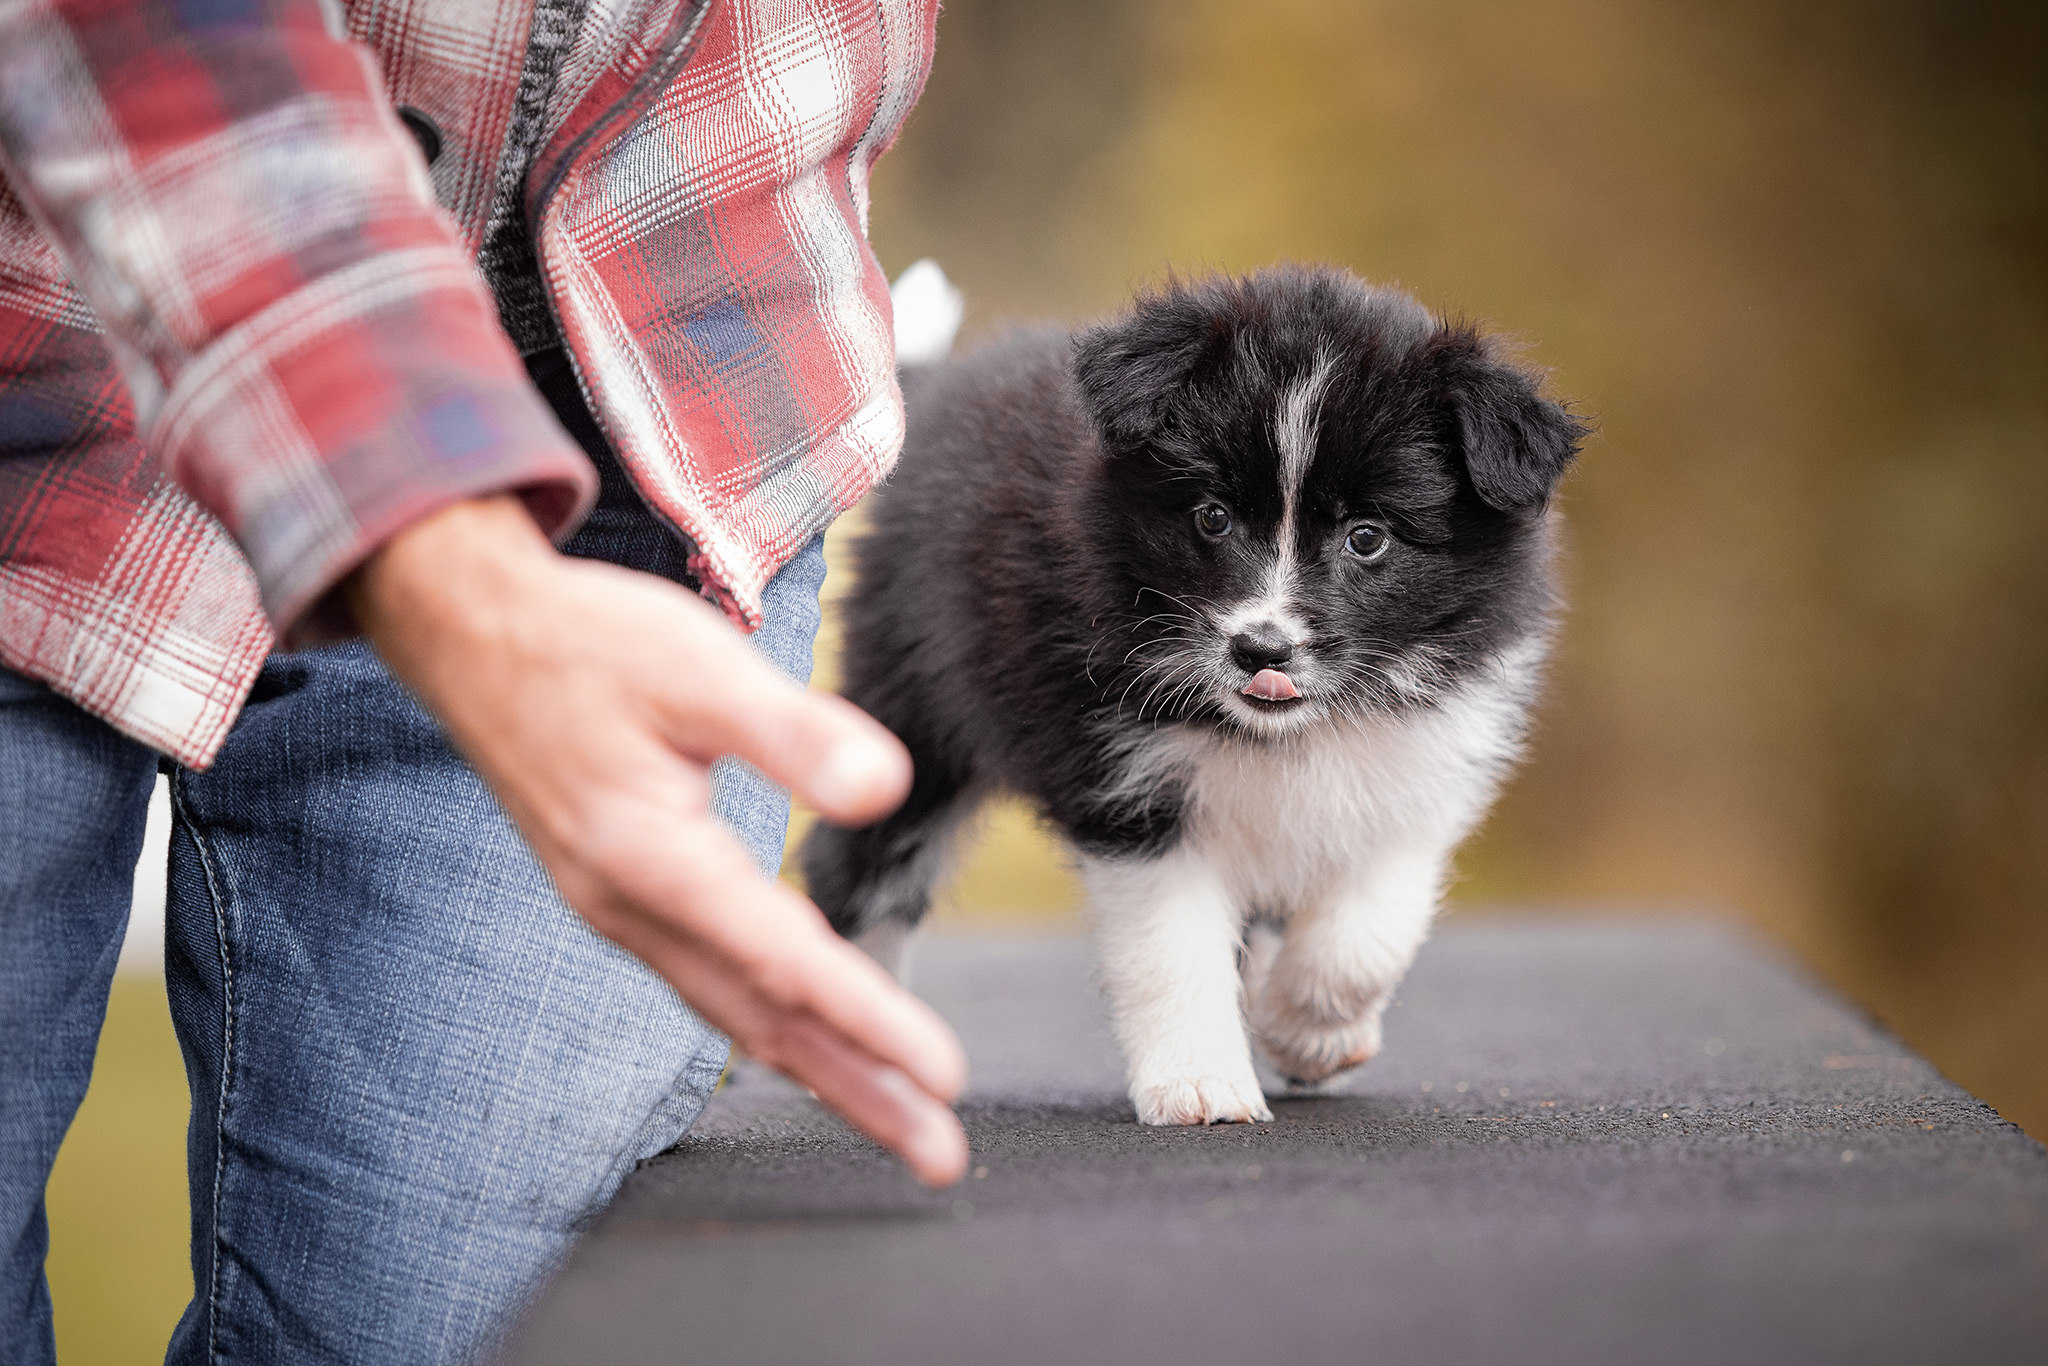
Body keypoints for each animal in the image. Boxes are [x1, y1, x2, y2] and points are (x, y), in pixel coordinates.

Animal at [798, 264, 1581, 1122]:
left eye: (1368, 537)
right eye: (1212, 517)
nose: (1260, 650)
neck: (1291, 734)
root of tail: (938, 390)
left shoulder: (1417, 765)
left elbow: (1367, 929)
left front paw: (1309, 1031)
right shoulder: (1132, 790)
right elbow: (1171, 949)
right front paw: (1199, 1081)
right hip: (915, 713)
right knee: (863, 867)